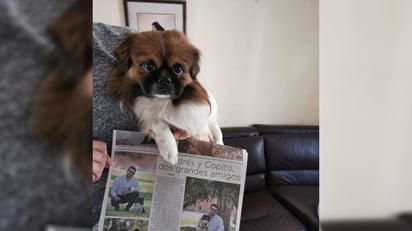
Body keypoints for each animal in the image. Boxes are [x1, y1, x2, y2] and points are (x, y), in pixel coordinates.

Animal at [109, 30, 224, 164]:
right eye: (148, 67)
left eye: (178, 70)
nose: (165, 80)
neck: (165, 101)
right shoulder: (146, 114)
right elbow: (159, 123)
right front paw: (170, 150)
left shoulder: (206, 118)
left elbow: (216, 129)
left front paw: (219, 145)